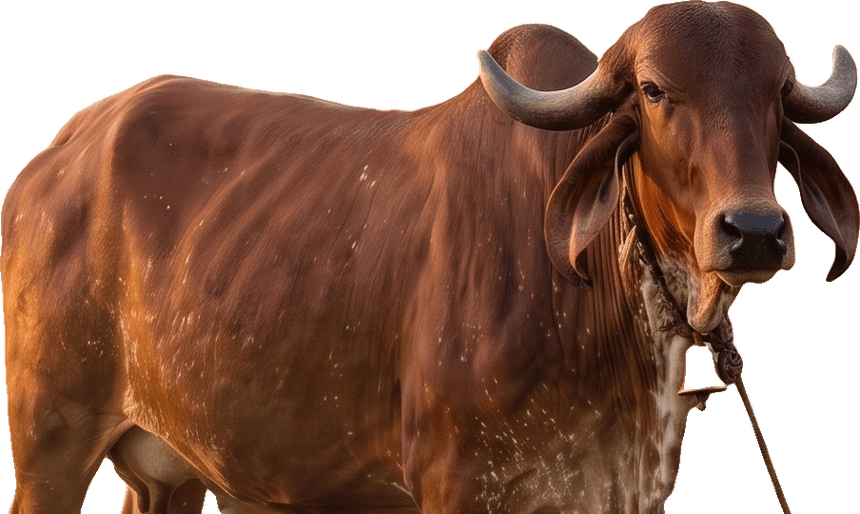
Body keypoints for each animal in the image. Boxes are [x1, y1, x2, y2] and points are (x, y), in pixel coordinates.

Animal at [2, 1, 858, 513]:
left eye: (779, 96)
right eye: (652, 90)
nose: (753, 231)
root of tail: (55, 156)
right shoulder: (458, 484)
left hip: (173, 467)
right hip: (50, 441)